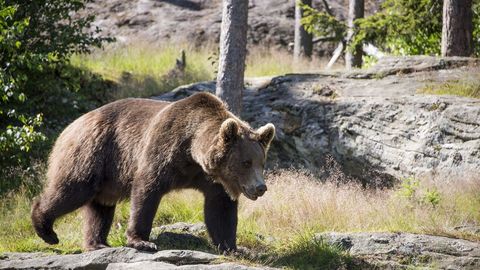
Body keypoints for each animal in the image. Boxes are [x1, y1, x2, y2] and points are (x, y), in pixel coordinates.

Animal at [31, 93, 276, 253]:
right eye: (246, 162)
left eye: (262, 162)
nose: (260, 187)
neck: (191, 152)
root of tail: (71, 125)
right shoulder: (163, 150)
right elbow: (147, 191)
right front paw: (142, 241)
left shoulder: (212, 179)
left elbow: (220, 209)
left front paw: (233, 247)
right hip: (92, 153)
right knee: (73, 190)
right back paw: (46, 229)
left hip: (106, 175)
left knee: (100, 207)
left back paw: (97, 243)